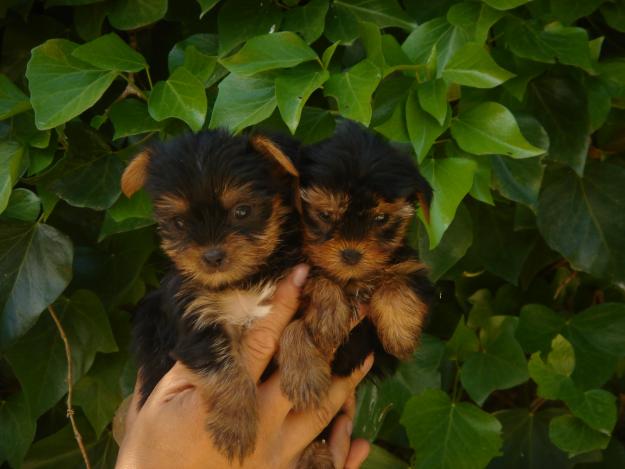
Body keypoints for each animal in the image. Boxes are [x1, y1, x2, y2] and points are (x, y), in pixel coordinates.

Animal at [120, 130, 302, 462]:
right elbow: (222, 365)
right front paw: (236, 426)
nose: (212, 256)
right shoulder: (192, 317)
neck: (239, 282)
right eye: (178, 223)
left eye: (242, 211)